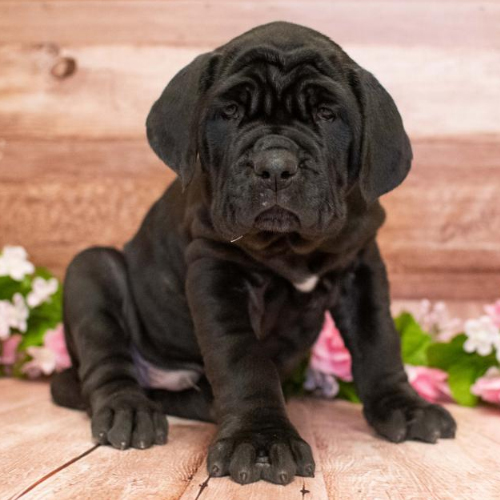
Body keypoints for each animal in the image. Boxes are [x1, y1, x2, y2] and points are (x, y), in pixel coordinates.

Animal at [51, 22, 458, 484]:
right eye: (229, 112)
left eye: (327, 115)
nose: (276, 165)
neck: (289, 247)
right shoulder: (216, 271)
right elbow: (242, 358)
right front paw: (261, 441)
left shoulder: (361, 266)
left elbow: (379, 341)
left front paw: (405, 407)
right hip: (91, 268)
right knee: (106, 362)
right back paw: (129, 411)